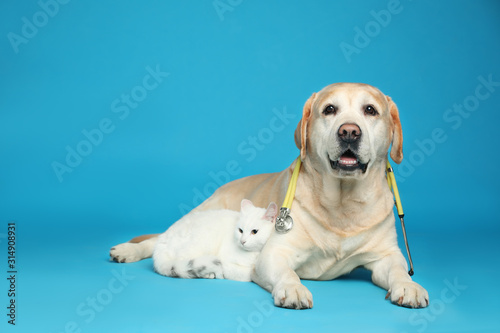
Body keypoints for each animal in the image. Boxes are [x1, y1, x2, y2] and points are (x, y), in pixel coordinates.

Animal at [110, 82, 430, 308]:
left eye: (370, 111)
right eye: (329, 109)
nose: (349, 132)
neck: (342, 204)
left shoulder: (386, 257)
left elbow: (399, 270)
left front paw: (410, 287)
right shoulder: (274, 254)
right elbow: (287, 272)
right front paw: (293, 288)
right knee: (155, 242)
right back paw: (127, 250)